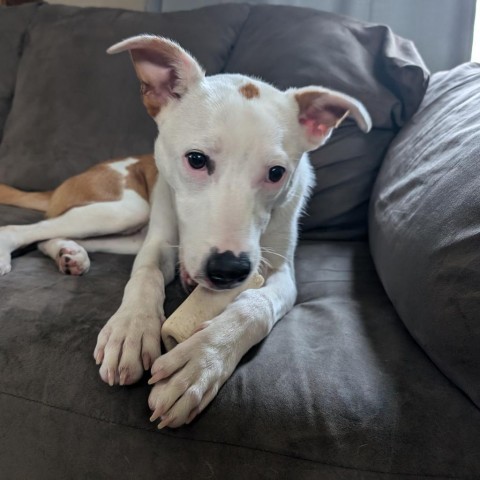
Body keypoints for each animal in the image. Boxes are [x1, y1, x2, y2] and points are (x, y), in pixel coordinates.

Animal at [0, 36, 372, 428]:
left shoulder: (281, 270)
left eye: (276, 173)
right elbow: (145, 276)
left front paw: (201, 361)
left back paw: (69, 253)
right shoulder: (159, 243)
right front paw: (132, 329)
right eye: (196, 159)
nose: (228, 270)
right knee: (26, 227)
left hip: (128, 231)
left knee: (47, 236)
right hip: (125, 208)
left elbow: (255, 307)